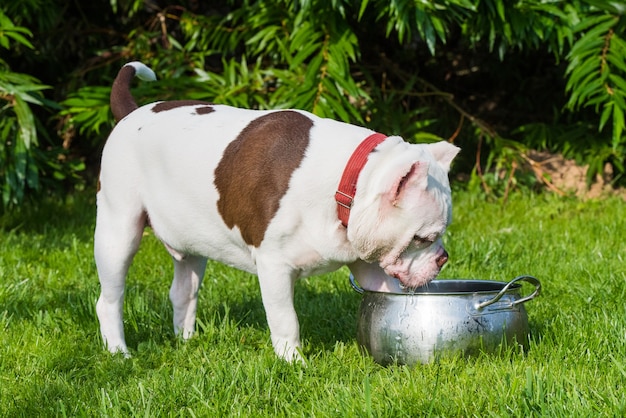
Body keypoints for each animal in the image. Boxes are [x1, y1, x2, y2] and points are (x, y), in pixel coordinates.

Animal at [96, 61, 458, 360]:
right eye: (423, 238)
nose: (443, 258)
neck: (351, 182)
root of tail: (131, 114)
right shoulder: (274, 266)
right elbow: (286, 319)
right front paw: (293, 362)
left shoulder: (367, 263)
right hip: (117, 232)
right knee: (110, 299)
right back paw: (119, 352)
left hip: (191, 246)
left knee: (183, 293)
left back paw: (187, 342)